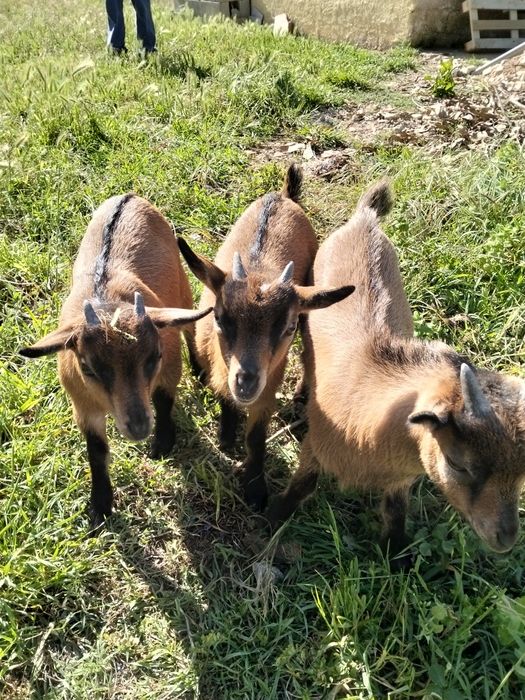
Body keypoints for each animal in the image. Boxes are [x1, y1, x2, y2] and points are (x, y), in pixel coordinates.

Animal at [20, 194, 212, 528]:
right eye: (87, 367)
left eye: (155, 356)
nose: (138, 426)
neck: (108, 301)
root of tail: (129, 197)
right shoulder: (83, 405)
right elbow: (96, 450)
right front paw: (100, 506)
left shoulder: (168, 365)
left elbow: (163, 400)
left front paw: (162, 444)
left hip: (182, 288)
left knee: (190, 327)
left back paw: (200, 371)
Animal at [176, 165, 355, 510]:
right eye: (219, 318)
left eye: (288, 327)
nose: (246, 382)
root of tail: (282, 197)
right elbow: (224, 400)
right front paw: (226, 436)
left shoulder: (268, 389)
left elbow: (256, 438)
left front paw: (256, 489)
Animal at [267, 179, 525, 564]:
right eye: (459, 464)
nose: (505, 539)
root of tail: (365, 219)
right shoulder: (315, 447)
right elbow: (302, 485)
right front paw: (274, 513)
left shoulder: (400, 480)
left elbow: (395, 511)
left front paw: (395, 552)